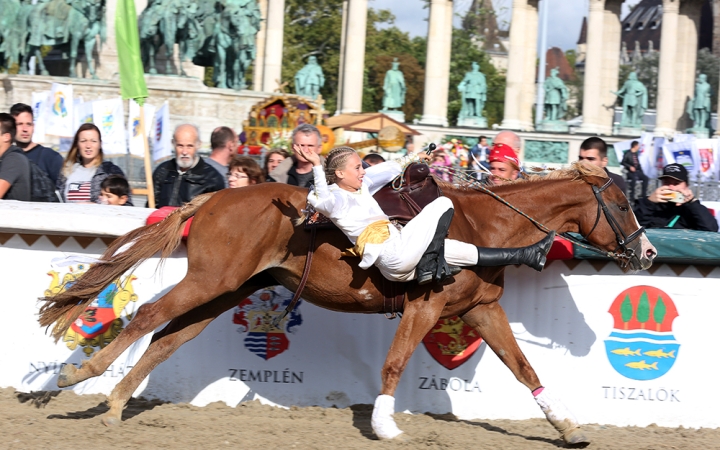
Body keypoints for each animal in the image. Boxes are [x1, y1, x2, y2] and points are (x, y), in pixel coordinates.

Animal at [39, 163, 660, 444]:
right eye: (621, 205)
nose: (649, 252)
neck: (484, 228)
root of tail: (217, 196)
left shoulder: (483, 311)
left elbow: (525, 366)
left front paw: (569, 425)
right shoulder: (424, 309)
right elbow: (394, 364)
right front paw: (384, 424)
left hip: (225, 290)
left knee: (168, 338)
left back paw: (116, 402)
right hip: (211, 281)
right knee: (148, 316)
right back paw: (81, 376)